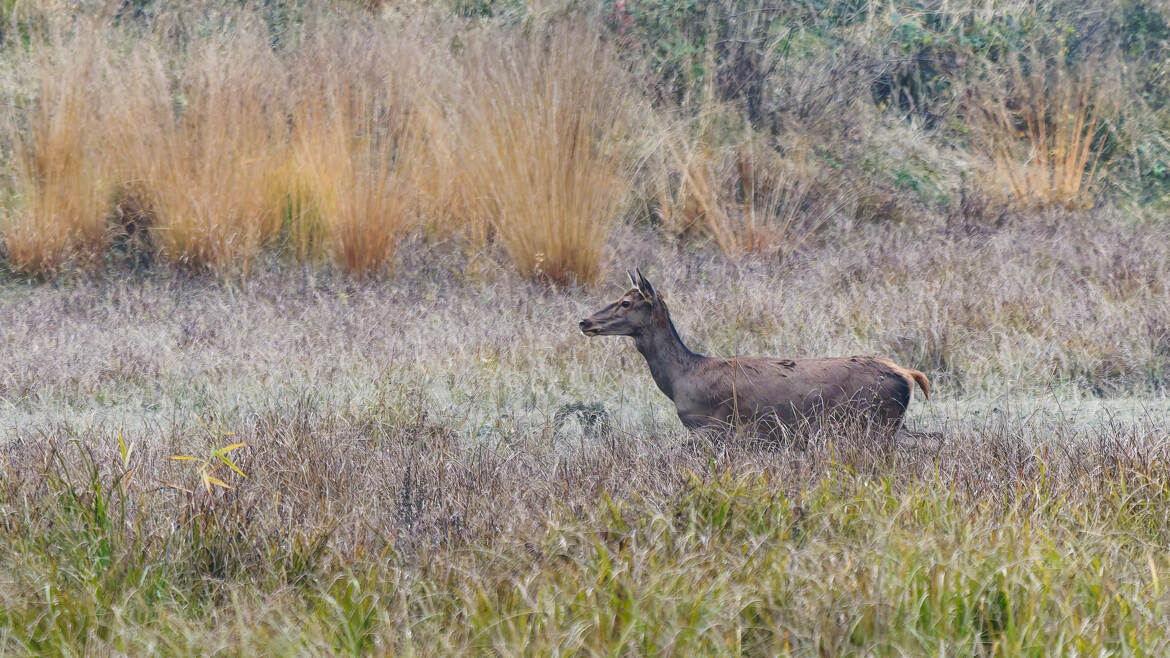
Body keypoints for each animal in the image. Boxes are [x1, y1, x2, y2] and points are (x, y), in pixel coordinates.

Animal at [577, 266, 931, 440]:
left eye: (625, 302)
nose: (585, 321)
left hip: (876, 420)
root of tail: (910, 375)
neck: (682, 377)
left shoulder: (712, 427)